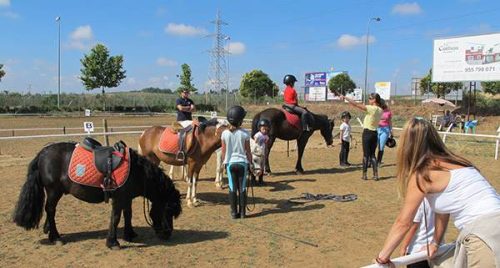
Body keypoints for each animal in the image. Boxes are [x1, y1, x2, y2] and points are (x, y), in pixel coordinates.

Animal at [12, 140, 182, 249]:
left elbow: (128, 214)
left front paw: (129, 234)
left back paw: (48, 230)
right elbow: (116, 217)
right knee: (50, 210)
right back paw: (55, 238)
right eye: (168, 210)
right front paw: (113, 243)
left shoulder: (127, 197)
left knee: (50, 211)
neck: (136, 171)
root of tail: (43, 152)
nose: (167, 234)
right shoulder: (119, 198)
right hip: (54, 191)